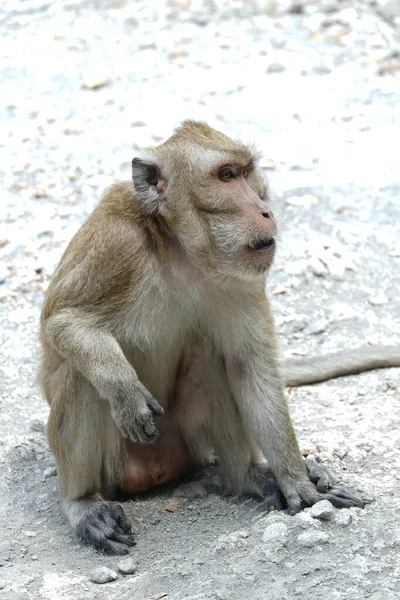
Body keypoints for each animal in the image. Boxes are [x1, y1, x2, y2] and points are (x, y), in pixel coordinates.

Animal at [38, 119, 396, 556]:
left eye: (245, 172)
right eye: (226, 176)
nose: (265, 210)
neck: (179, 250)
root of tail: (154, 473)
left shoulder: (241, 279)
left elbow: (249, 368)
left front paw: (296, 480)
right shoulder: (115, 245)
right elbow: (63, 322)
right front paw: (124, 390)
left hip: (187, 443)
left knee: (207, 359)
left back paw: (247, 476)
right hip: (116, 465)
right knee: (81, 375)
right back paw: (82, 503)